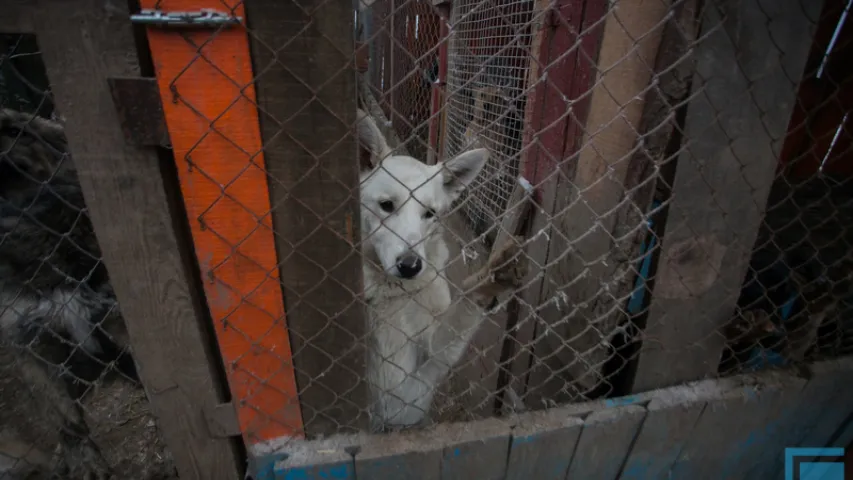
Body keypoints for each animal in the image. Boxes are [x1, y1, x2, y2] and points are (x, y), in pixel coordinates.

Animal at [352, 109, 524, 432]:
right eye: (386, 205)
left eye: (429, 214)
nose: (410, 266)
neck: (392, 292)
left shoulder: (425, 367)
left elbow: (461, 313)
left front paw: (489, 282)